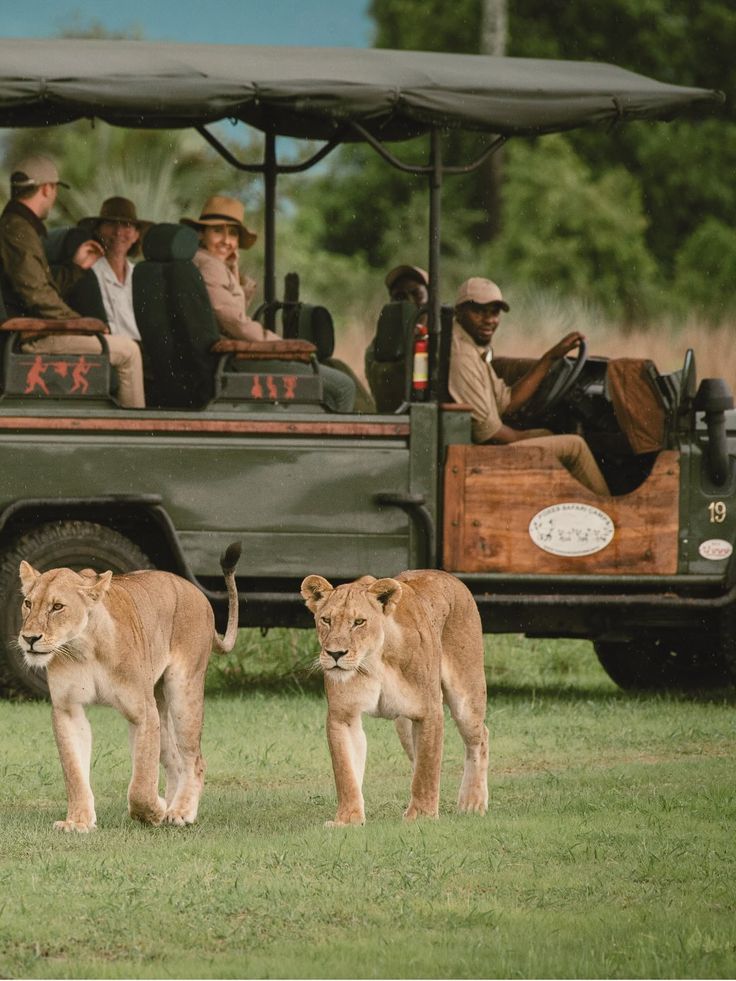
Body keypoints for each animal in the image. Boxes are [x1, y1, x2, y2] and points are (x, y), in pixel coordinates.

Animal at [17, 543, 241, 833]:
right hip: (160, 706)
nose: (29, 638)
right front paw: (78, 822)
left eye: (57, 607)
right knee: (175, 761)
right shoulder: (67, 709)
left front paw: (153, 811)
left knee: (194, 760)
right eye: (28, 603)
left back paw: (180, 811)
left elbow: (142, 782)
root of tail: (196, 592)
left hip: (183, 692)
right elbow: (74, 772)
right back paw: (172, 805)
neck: (84, 648)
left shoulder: (142, 711)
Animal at [301, 569, 488, 826]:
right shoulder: (343, 715)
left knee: (479, 738)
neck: (373, 661)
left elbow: (427, 769)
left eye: (359, 622)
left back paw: (472, 802)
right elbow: (346, 772)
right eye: (326, 620)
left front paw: (421, 815)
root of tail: (447, 575)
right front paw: (347, 820)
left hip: (466, 698)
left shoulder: (428, 712)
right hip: (404, 726)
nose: (335, 654)